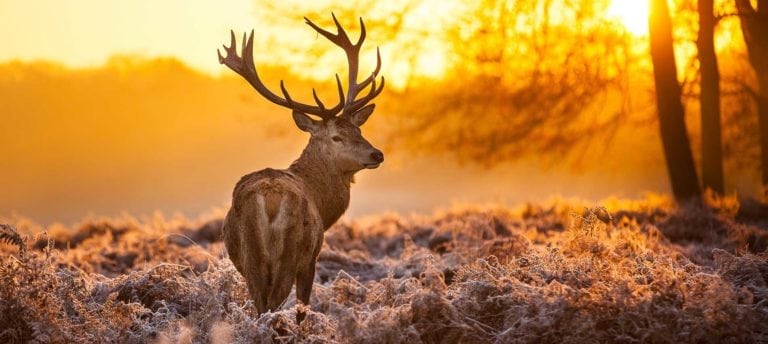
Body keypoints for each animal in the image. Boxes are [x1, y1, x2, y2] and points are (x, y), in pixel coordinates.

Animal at [216, 12, 384, 322]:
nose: (377, 154)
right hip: (291, 252)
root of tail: (269, 199)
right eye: (336, 136)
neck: (322, 202)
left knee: (260, 305)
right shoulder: (312, 258)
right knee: (274, 305)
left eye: (359, 130)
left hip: (250, 257)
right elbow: (303, 307)